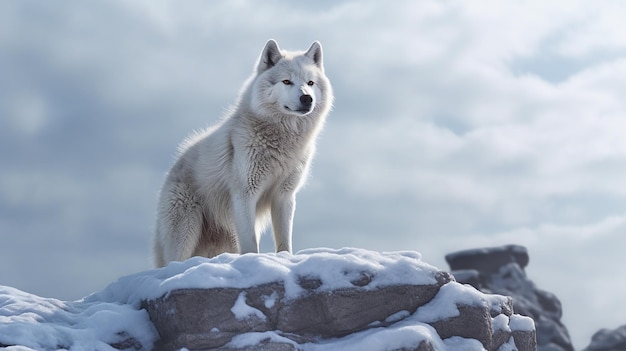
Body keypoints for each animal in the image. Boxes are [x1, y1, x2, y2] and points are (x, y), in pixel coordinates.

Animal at [152, 40, 332, 268]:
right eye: (286, 81)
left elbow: (284, 242)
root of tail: (172, 168)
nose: (306, 98)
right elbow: (250, 244)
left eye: (310, 83)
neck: (281, 141)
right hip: (186, 232)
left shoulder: (284, 197)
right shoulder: (245, 194)